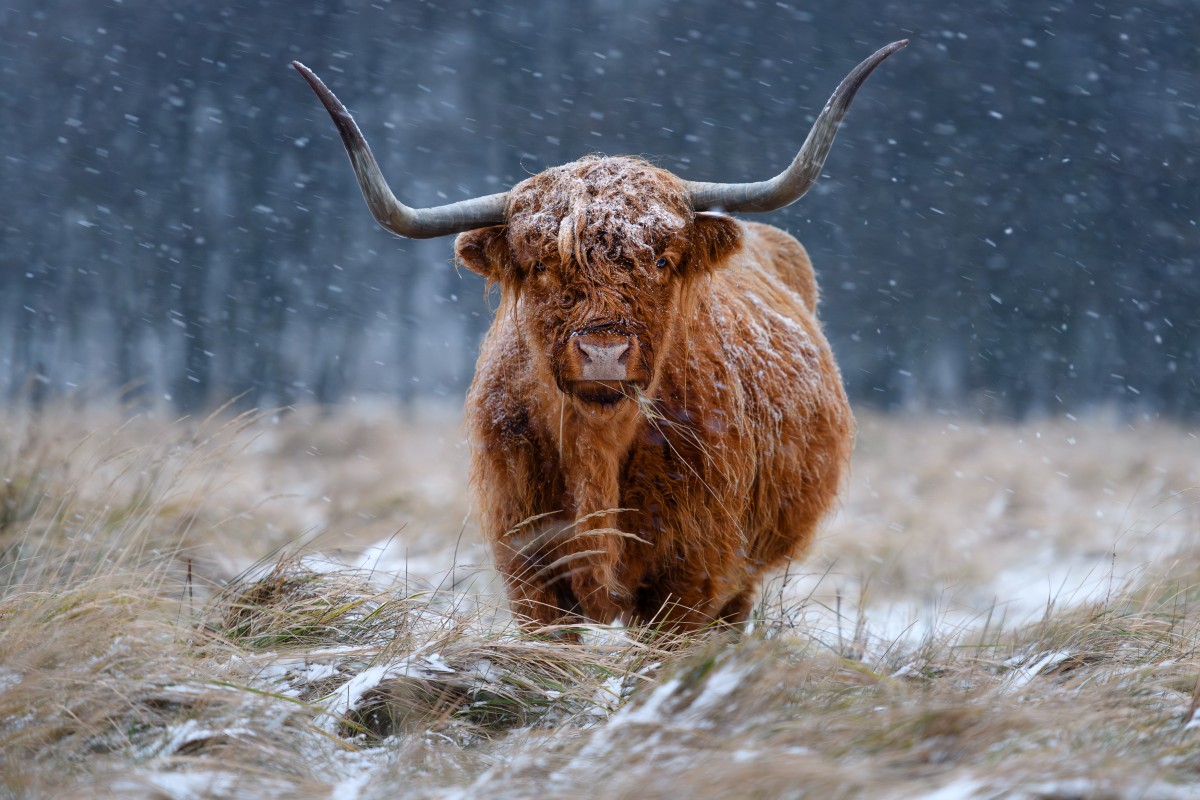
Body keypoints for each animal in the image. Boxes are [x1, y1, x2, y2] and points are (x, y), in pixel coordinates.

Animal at [295, 42, 902, 633]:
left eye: (661, 260)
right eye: (541, 265)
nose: (604, 353)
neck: (597, 449)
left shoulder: (693, 574)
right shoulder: (529, 569)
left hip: (744, 574)